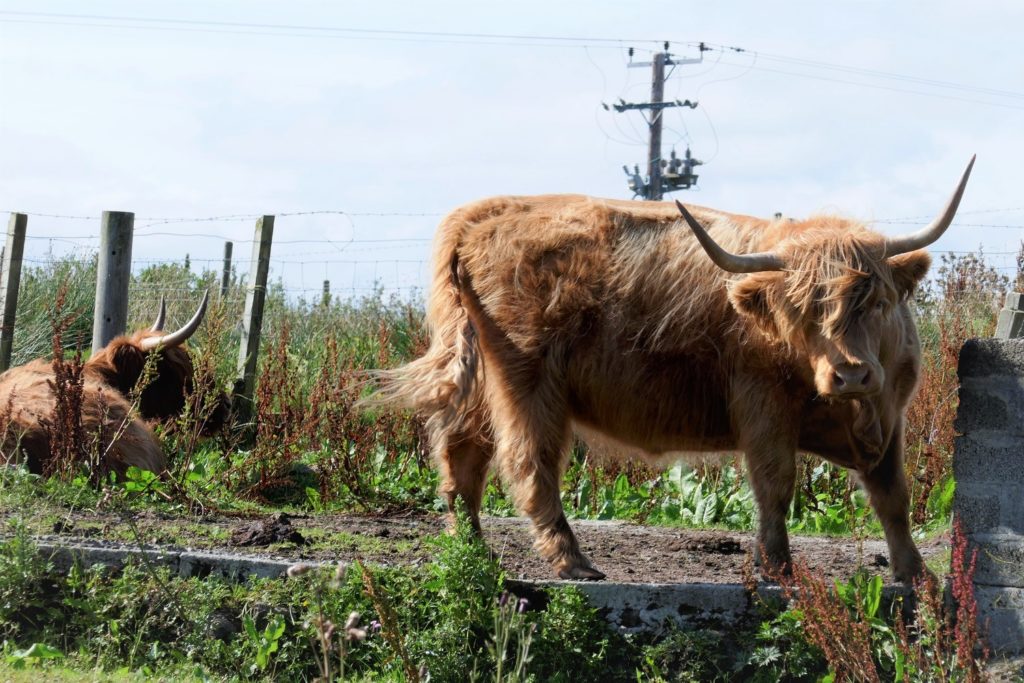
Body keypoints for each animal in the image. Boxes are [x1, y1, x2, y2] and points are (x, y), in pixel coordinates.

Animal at [372, 158, 978, 581]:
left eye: (875, 301)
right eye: (800, 310)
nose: (850, 375)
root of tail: (480, 213)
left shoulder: (891, 415)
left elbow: (893, 495)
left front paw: (915, 576)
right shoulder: (763, 408)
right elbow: (776, 486)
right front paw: (778, 570)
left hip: (476, 376)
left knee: (461, 455)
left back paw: (471, 550)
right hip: (527, 381)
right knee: (528, 464)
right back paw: (572, 562)